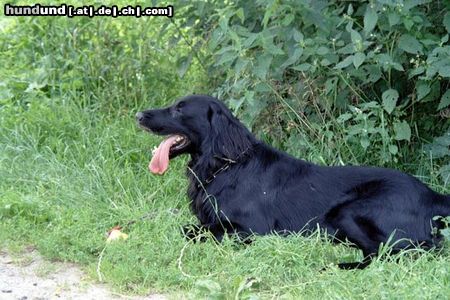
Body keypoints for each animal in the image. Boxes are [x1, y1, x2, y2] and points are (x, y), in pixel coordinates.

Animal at [136, 95, 450, 268]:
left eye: (179, 109)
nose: (138, 115)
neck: (225, 165)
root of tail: (434, 196)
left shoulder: (251, 230)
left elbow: (194, 230)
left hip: (349, 210)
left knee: (392, 253)